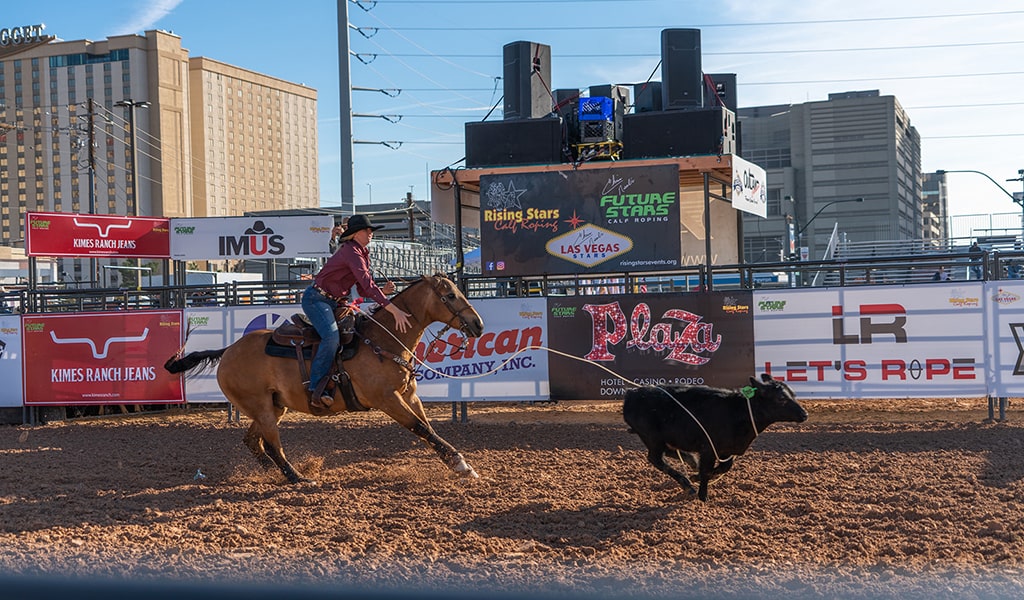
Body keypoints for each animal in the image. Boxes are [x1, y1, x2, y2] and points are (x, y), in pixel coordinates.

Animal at [164, 273, 485, 484]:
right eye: (451, 295)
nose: (478, 324)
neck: (382, 340)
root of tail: (228, 349)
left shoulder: (409, 395)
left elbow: (429, 429)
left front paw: (460, 464)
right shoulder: (388, 399)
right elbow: (420, 428)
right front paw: (460, 464)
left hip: (273, 406)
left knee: (253, 442)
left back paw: (275, 472)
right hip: (262, 408)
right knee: (272, 444)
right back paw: (297, 478)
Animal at [623, 374, 808, 501]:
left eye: (793, 394)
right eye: (781, 398)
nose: (804, 414)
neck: (738, 411)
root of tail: (632, 393)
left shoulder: (727, 450)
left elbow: (723, 467)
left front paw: (696, 476)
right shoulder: (708, 449)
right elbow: (706, 471)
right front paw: (703, 496)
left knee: (668, 452)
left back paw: (691, 461)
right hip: (652, 438)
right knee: (656, 459)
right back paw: (686, 484)